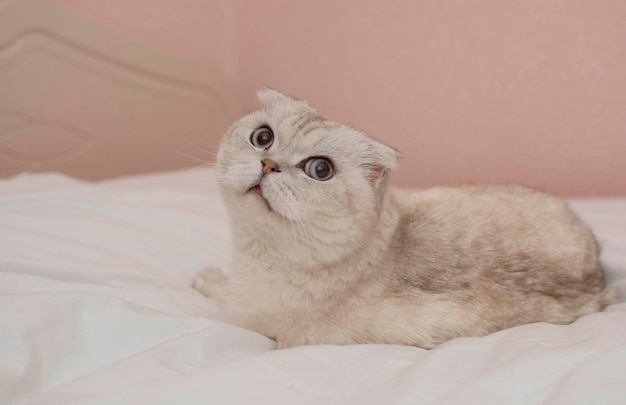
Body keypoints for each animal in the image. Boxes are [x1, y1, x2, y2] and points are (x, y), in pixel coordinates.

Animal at [193, 90, 612, 348]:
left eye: (319, 170)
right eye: (262, 138)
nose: (267, 164)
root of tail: (599, 279)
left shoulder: (259, 324)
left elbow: (227, 300)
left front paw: (209, 280)